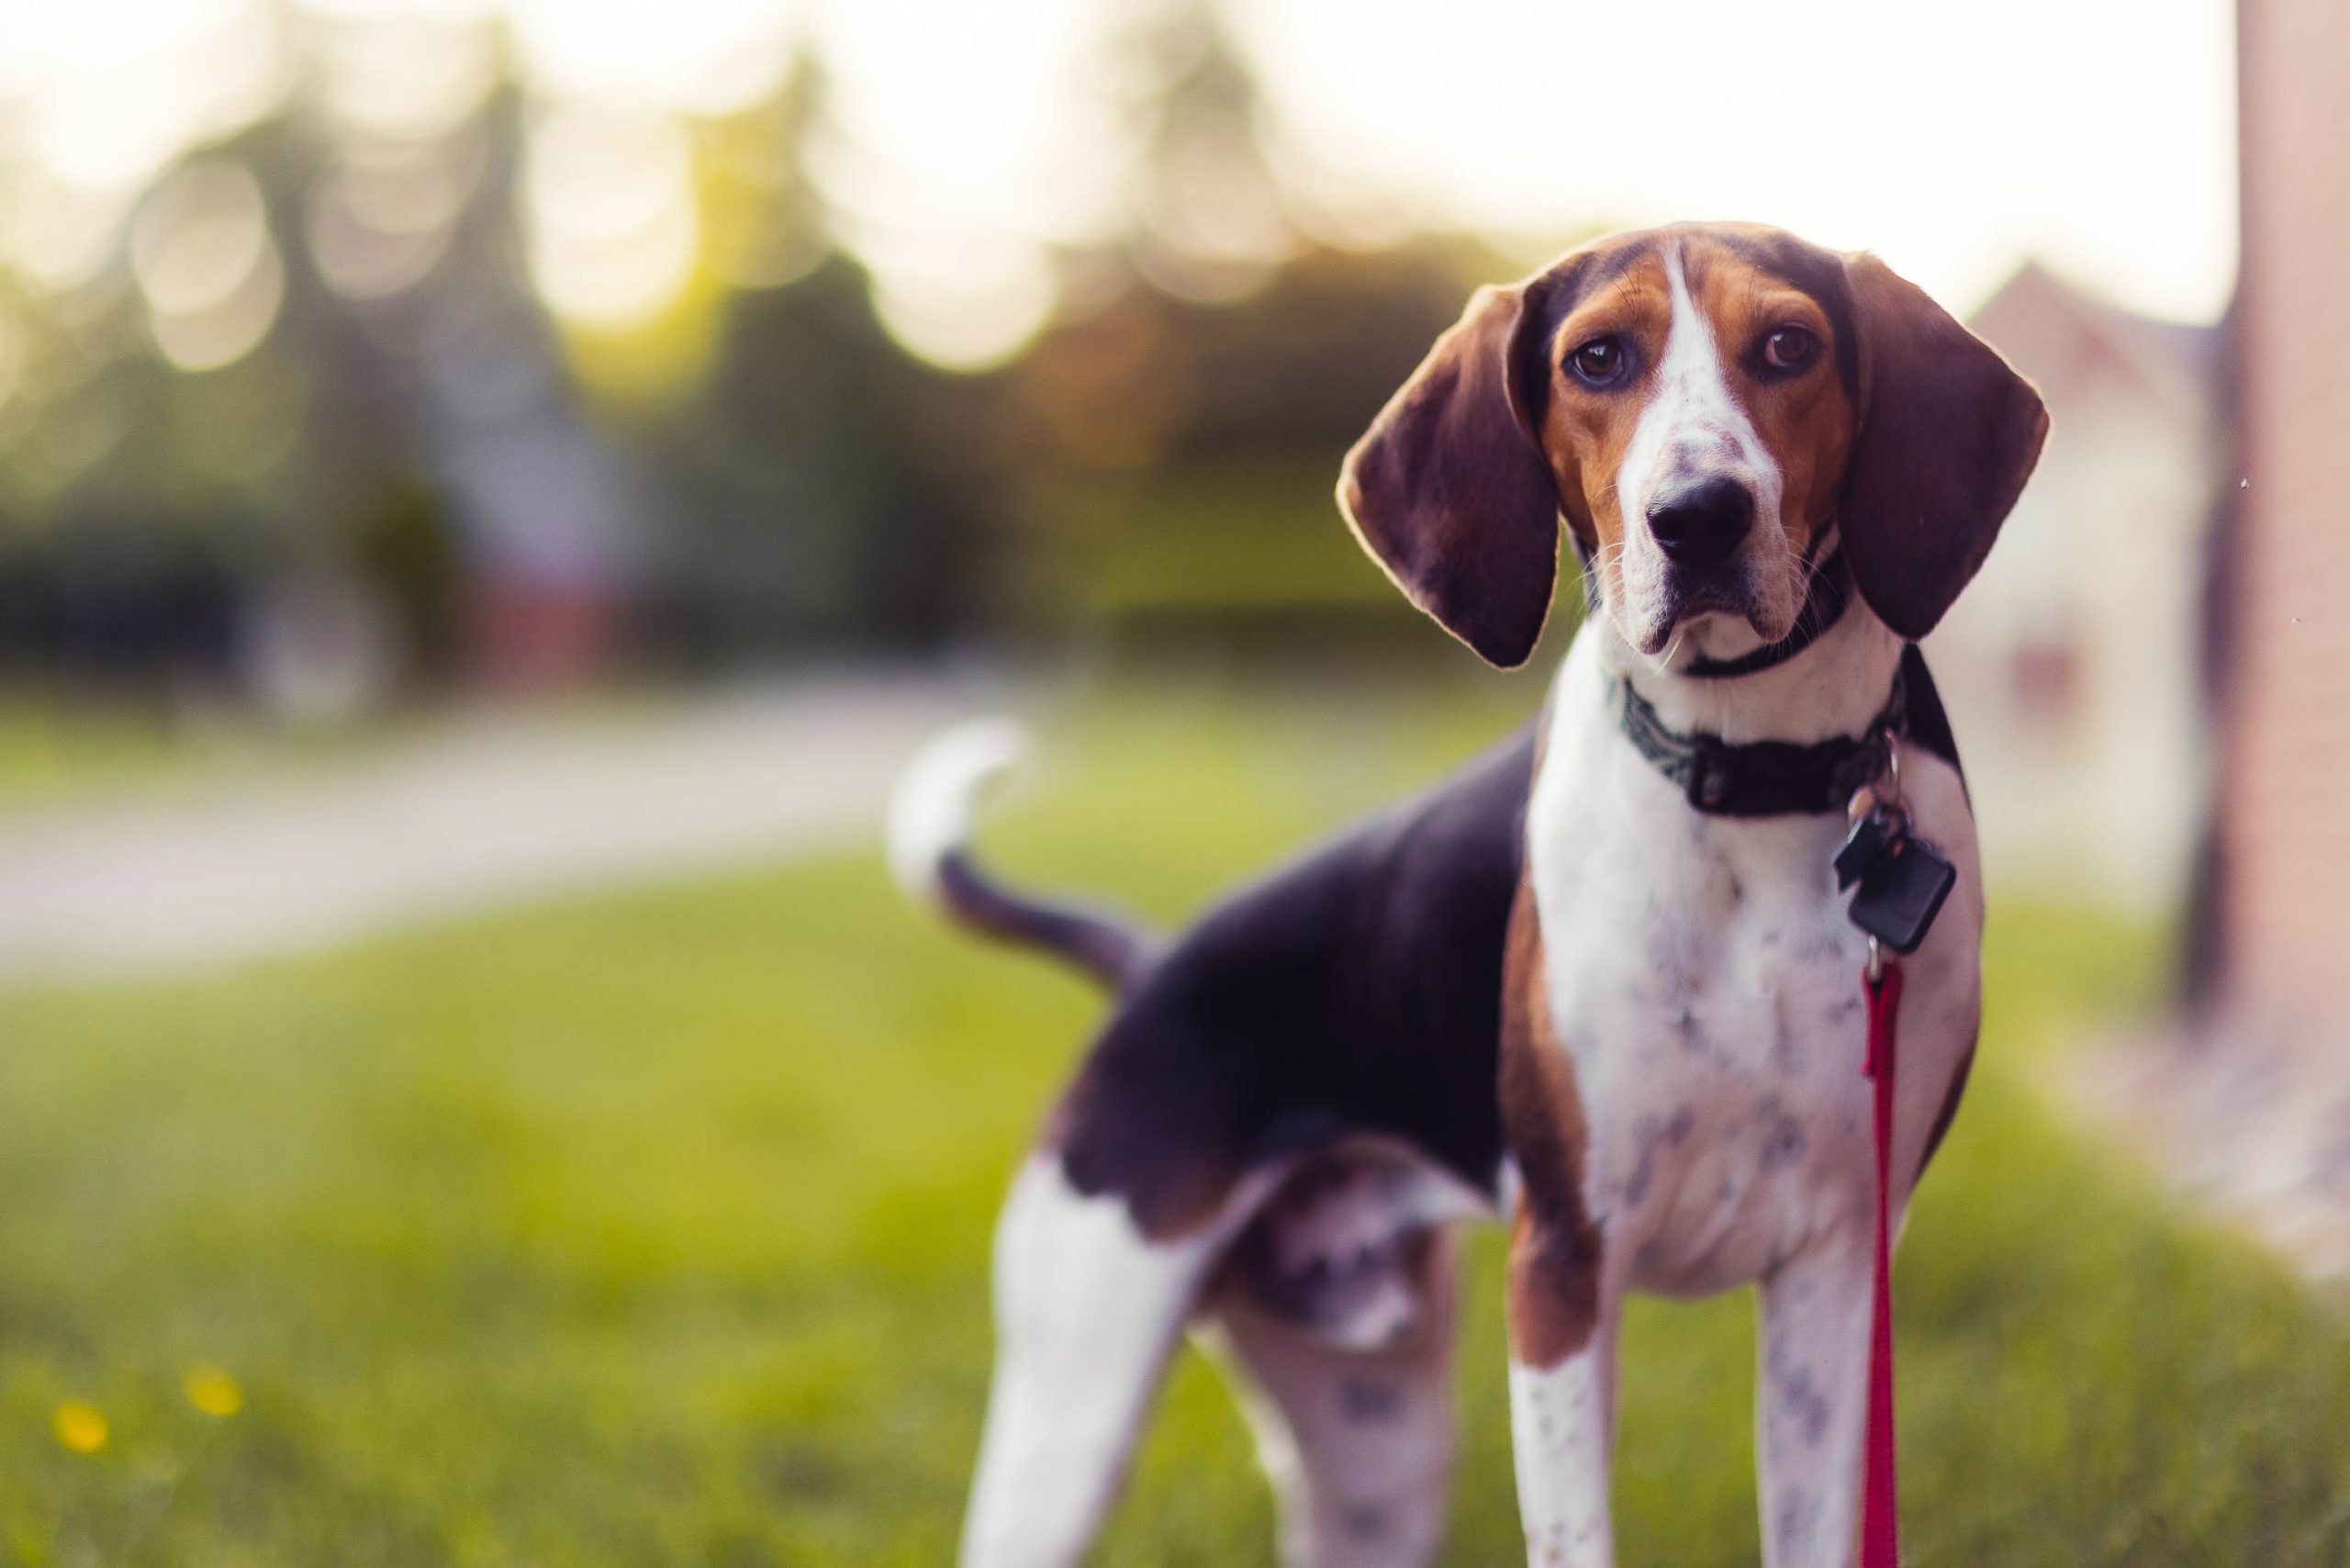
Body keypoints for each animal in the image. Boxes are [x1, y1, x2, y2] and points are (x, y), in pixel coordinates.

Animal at [888, 223, 2049, 1568]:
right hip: (1070, 1411)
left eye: (1787, 345)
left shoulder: (1838, 1268)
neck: (1752, 782)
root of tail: (1152, 967)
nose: (1698, 517)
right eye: (1597, 358)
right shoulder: (1563, 1268)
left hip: (1376, 1458)